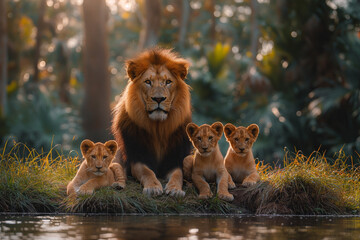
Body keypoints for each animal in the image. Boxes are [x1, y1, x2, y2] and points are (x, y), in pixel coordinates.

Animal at [112, 47, 191, 196]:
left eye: (168, 82)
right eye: (148, 82)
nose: (158, 99)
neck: (158, 129)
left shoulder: (174, 159)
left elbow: (178, 174)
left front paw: (175, 189)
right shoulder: (137, 157)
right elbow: (146, 171)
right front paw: (153, 187)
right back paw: (118, 184)